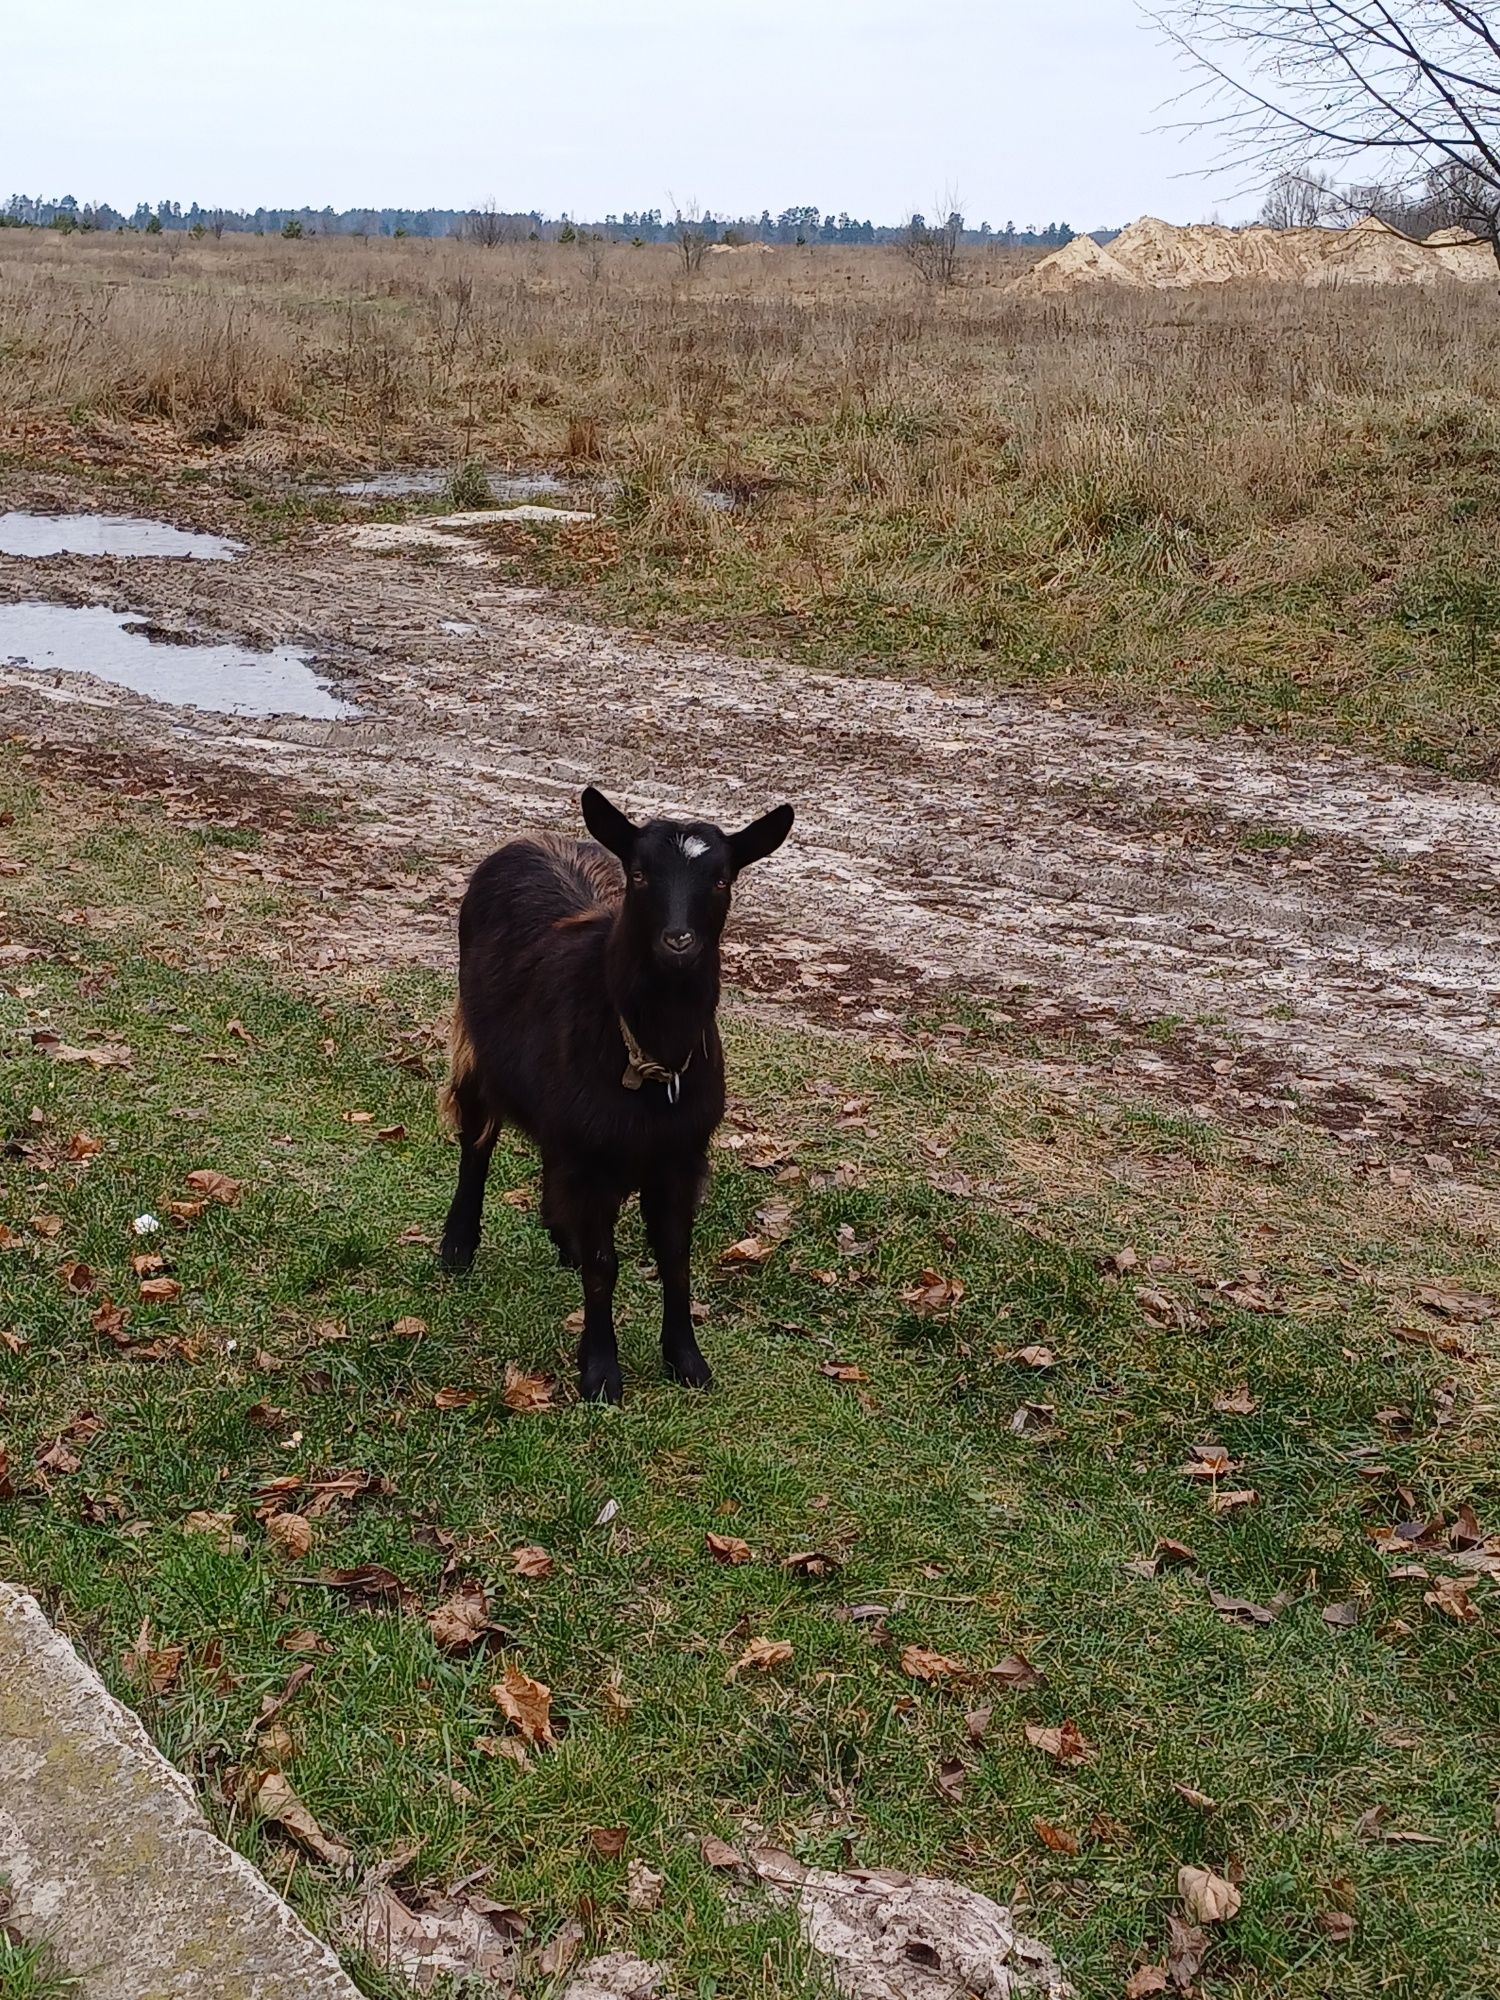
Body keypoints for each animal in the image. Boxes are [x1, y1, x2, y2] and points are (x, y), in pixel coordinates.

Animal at [440, 788, 800, 1400]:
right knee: (477, 1140)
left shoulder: (679, 1157)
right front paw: (601, 1372)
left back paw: (559, 1239)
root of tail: (529, 839)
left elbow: (675, 1258)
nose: (678, 942)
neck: (652, 1062)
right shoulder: (591, 1160)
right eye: (639, 874)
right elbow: (604, 1265)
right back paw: (458, 1246)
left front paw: (686, 1361)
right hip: (476, 1047)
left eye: (721, 878)